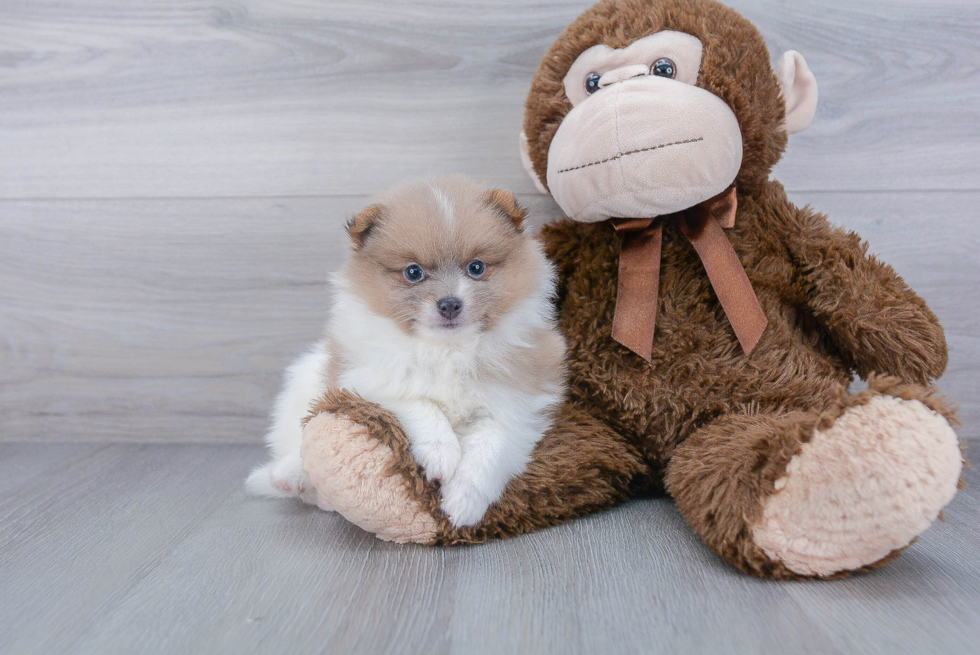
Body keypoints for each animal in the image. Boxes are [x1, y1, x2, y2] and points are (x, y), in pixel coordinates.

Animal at [247, 177, 568, 532]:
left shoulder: (515, 404)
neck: (448, 350)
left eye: (476, 267)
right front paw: (441, 453)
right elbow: (419, 403)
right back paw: (290, 474)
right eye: (413, 273)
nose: (450, 303)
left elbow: (488, 450)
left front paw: (462, 503)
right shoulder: (366, 379)